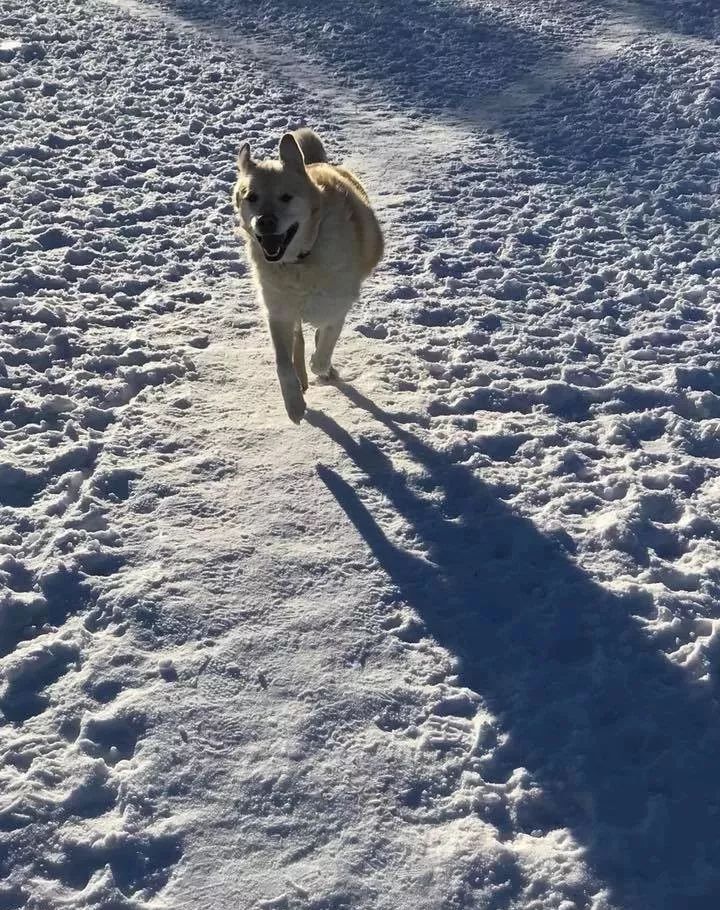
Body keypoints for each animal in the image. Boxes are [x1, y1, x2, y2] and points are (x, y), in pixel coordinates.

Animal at [235, 128, 386, 424]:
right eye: (251, 196)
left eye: (286, 197)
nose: (265, 222)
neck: (300, 260)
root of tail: (315, 162)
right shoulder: (278, 311)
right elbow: (283, 364)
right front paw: (294, 404)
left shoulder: (335, 306)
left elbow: (323, 348)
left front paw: (323, 369)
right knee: (298, 340)